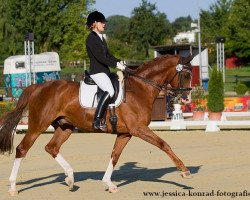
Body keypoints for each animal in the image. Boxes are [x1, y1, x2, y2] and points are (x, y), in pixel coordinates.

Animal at [0, 54, 193, 195]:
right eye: (185, 75)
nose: (186, 99)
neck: (140, 89)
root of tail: (37, 87)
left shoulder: (126, 133)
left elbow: (115, 155)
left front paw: (109, 183)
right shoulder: (138, 129)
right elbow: (163, 144)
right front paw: (184, 171)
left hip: (65, 127)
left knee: (52, 147)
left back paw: (70, 178)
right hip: (38, 125)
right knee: (22, 149)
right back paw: (13, 187)